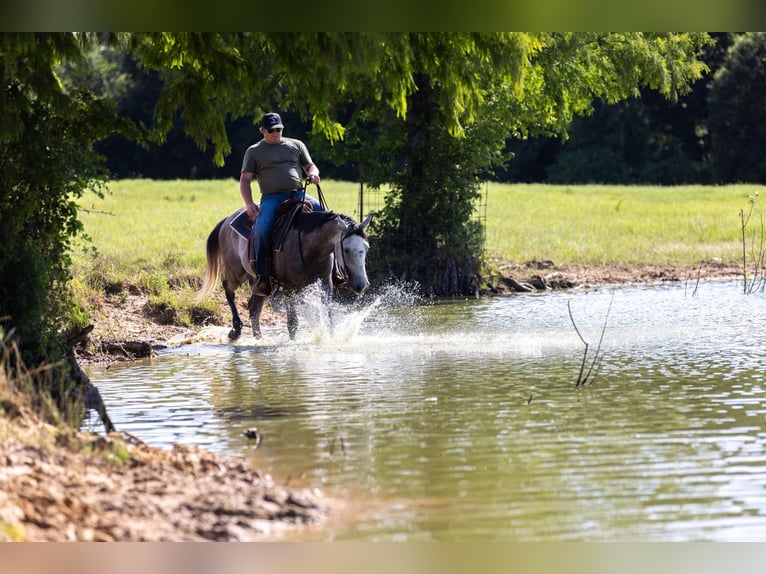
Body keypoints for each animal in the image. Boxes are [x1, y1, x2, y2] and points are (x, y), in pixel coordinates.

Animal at [196, 204, 372, 341]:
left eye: (366, 247)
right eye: (347, 250)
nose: (361, 284)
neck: (309, 246)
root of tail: (226, 221)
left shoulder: (325, 283)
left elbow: (328, 318)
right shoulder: (289, 288)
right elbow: (292, 323)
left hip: (261, 282)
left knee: (254, 307)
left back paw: (258, 338)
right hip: (236, 272)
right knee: (228, 289)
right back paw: (236, 330)